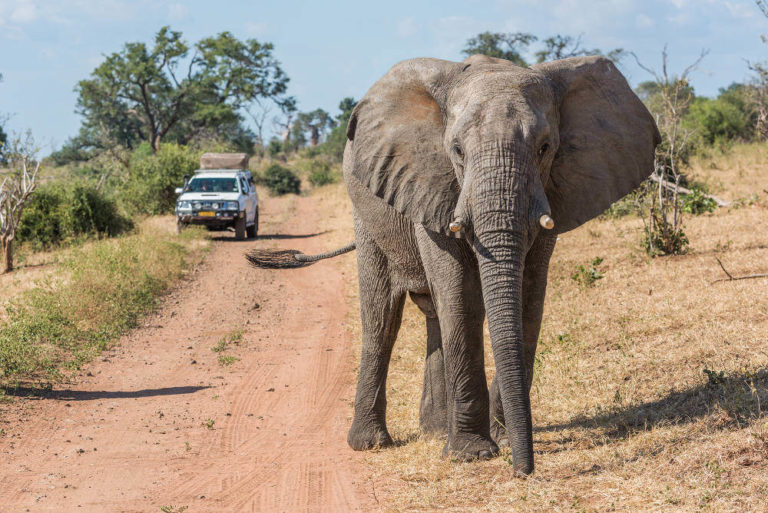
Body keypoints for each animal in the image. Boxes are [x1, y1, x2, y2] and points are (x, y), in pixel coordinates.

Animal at [248, 54, 660, 474]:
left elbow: (529, 296)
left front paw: (498, 438)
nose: (523, 470)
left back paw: (433, 432)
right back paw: (371, 443)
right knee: (382, 318)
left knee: (433, 314)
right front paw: (473, 453)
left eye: (545, 148)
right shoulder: (431, 182)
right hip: (365, 210)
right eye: (457, 151)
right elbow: (459, 293)